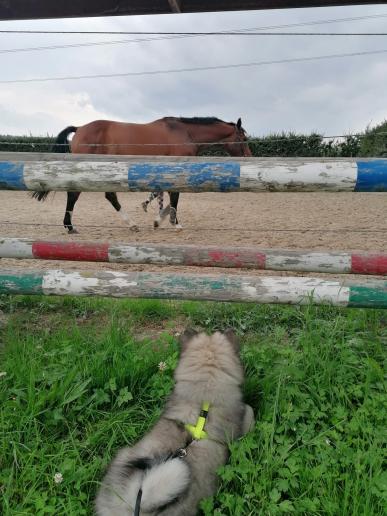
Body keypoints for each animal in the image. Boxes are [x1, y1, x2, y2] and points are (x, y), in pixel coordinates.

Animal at [32, 117, 252, 234]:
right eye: (242, 138)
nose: (249, 157)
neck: (185, 133)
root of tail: (80, 129)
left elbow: (161, 194)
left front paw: (156, 217)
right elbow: (174, 196)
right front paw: (173, 222)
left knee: (107, 196)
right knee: (75, 195)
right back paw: (71, 227)